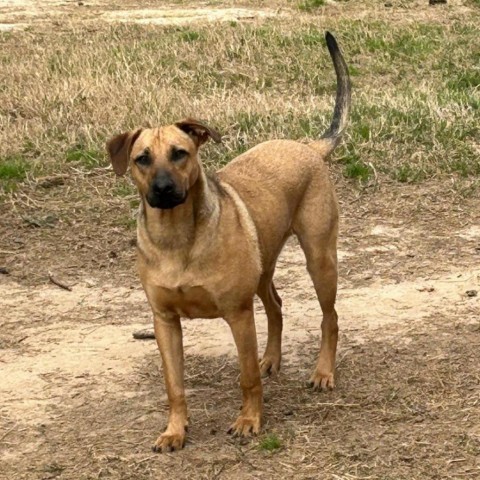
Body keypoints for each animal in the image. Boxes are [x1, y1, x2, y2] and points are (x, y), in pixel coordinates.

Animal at [107, 31, 350, 452]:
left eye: (180, 153)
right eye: (142, 159)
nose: (163, 189)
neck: (177, 237)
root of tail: (306, 146)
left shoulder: (237, 313)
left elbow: (246, 376)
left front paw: (249, 421)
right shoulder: (164, 321)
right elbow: (174, 386)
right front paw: (175, 430)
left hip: (319, 258)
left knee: (329, 317)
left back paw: (323, 372)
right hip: (264, 265)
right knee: (276, 306)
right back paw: (272, 358)